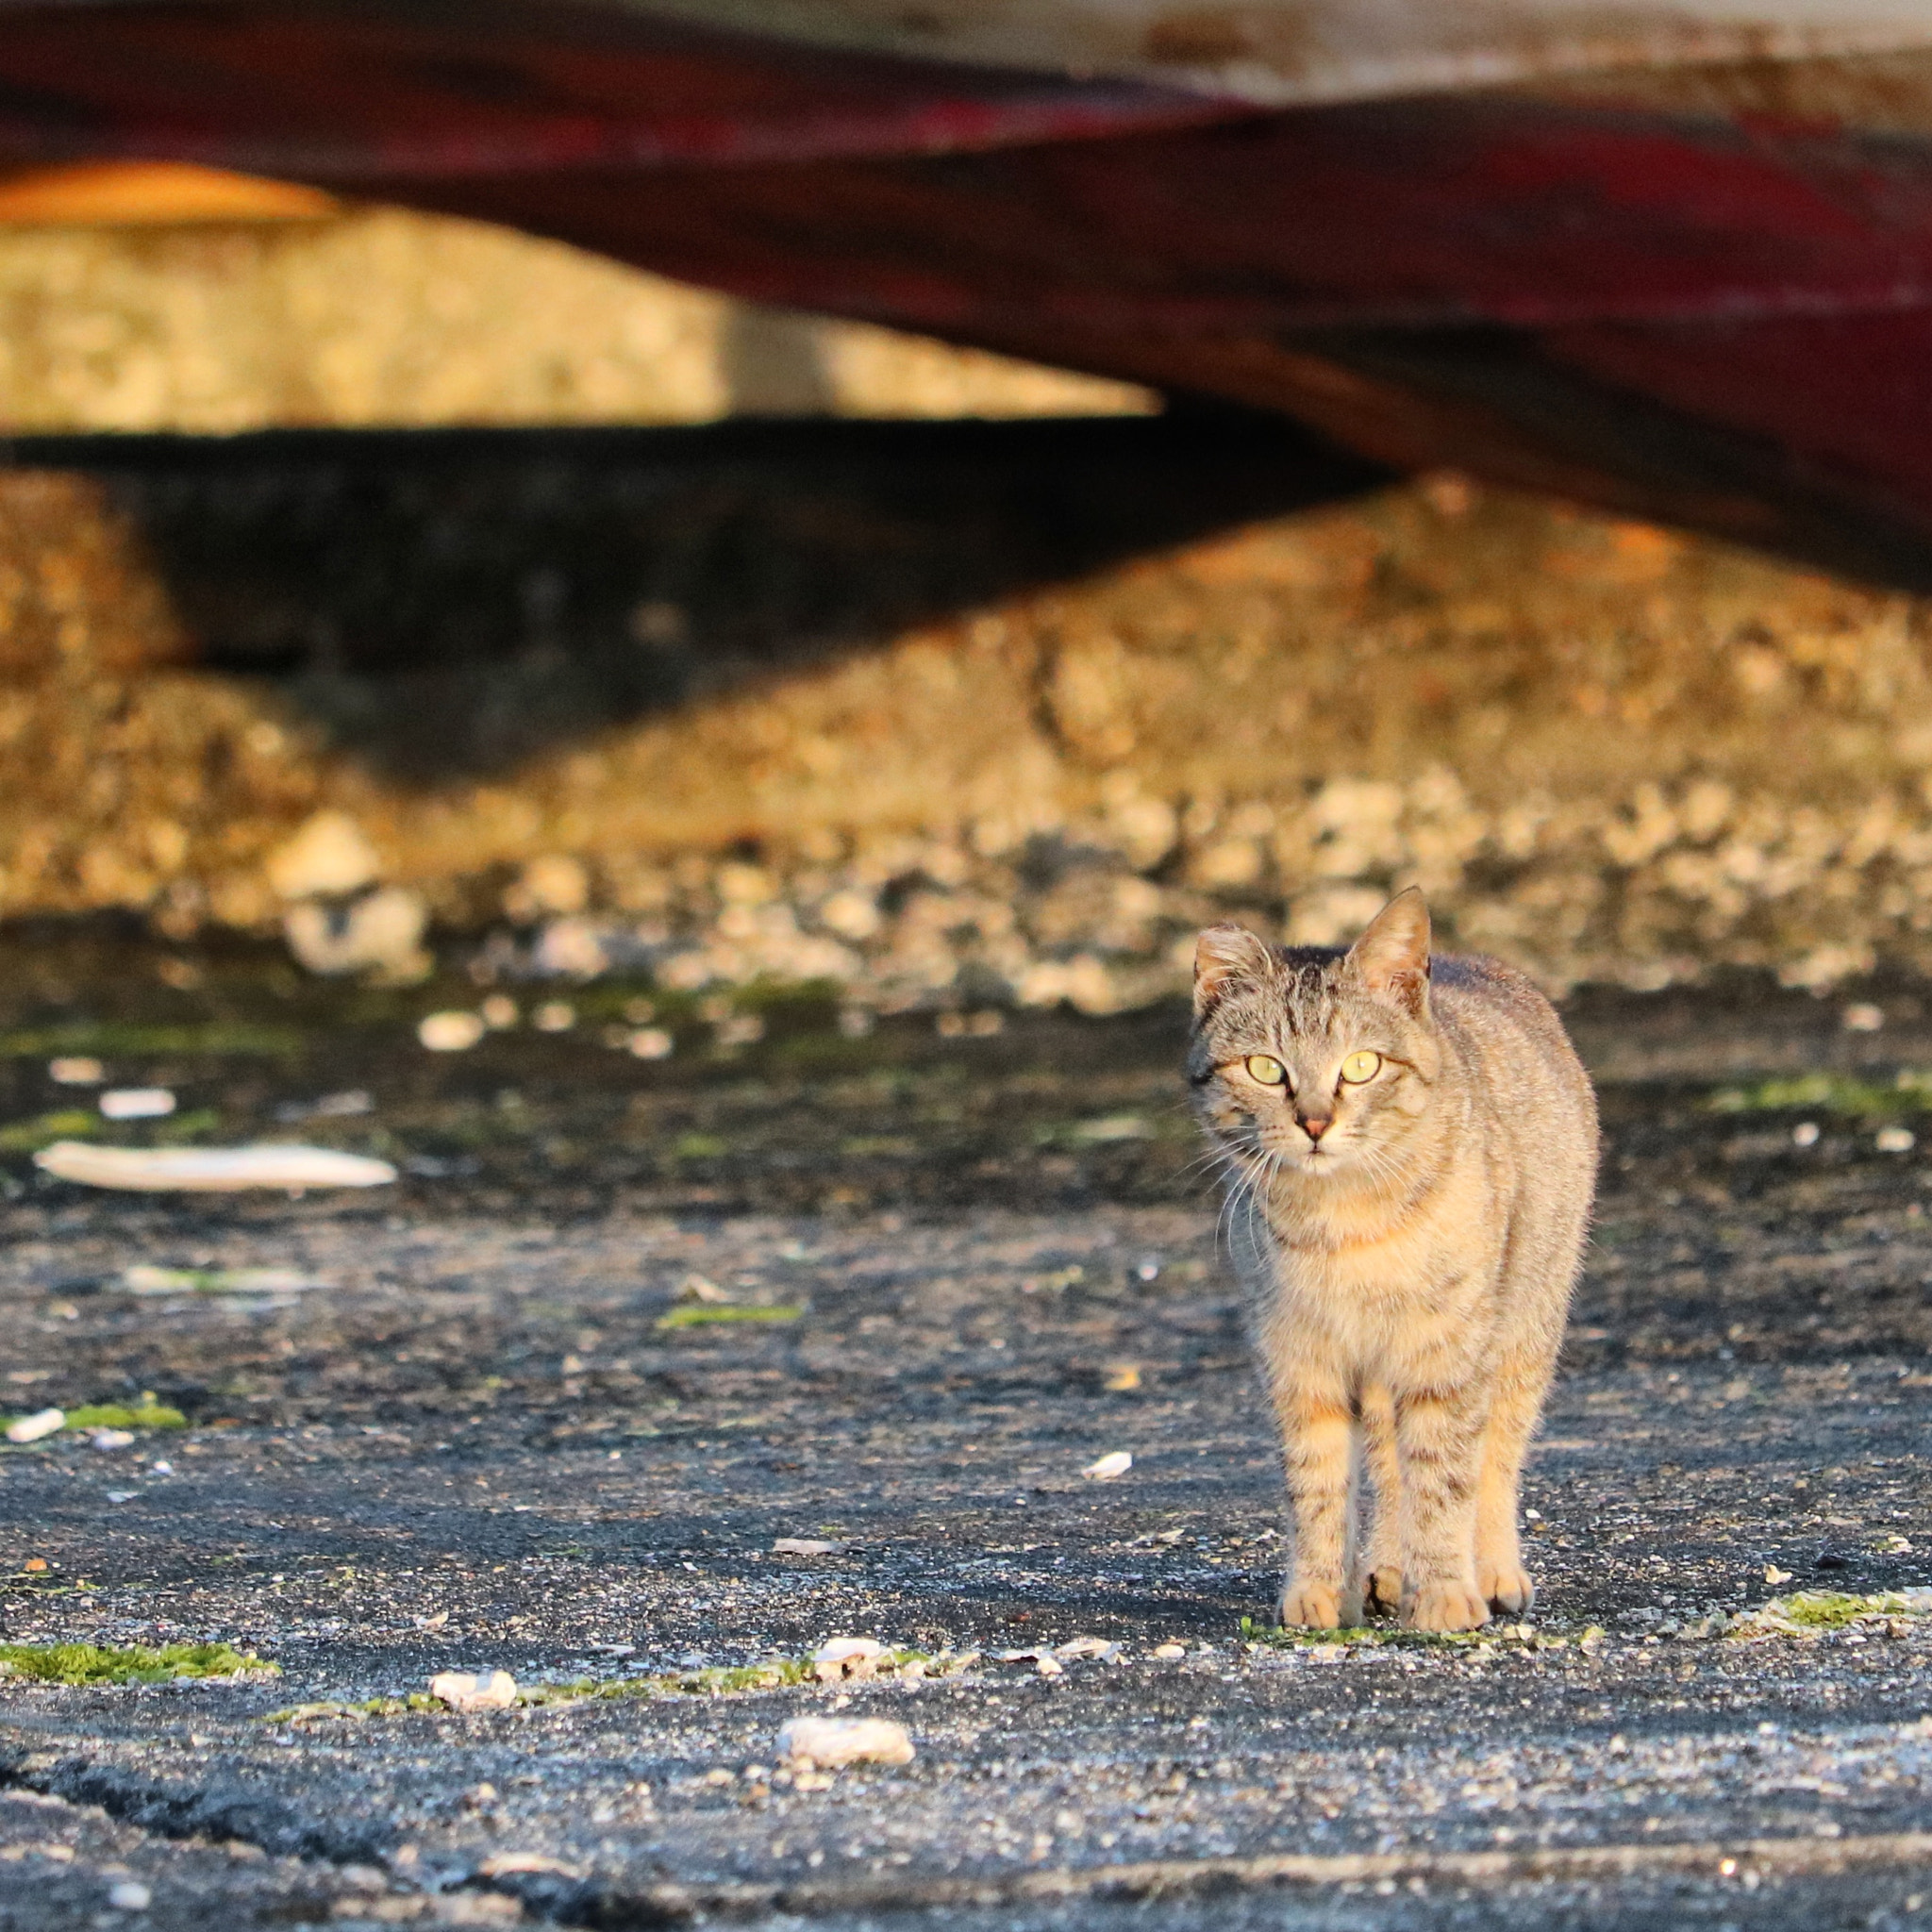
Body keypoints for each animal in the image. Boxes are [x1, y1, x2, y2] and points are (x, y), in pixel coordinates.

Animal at [1182, 889, 1591, 1630]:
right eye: (1266, 1069)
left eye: (1361, 1065)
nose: (1315, 1123)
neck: (1343, 1225)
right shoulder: (1302, 1360)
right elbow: (1319, 1484)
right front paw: (1317, 1591)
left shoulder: (1446, 1355)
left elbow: (1447, 1479)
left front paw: (1448, 1593)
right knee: (1390, 1466)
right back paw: (1387, 1569)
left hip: (1525, 1329)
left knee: (1496, 1457)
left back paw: (1493, 1570)